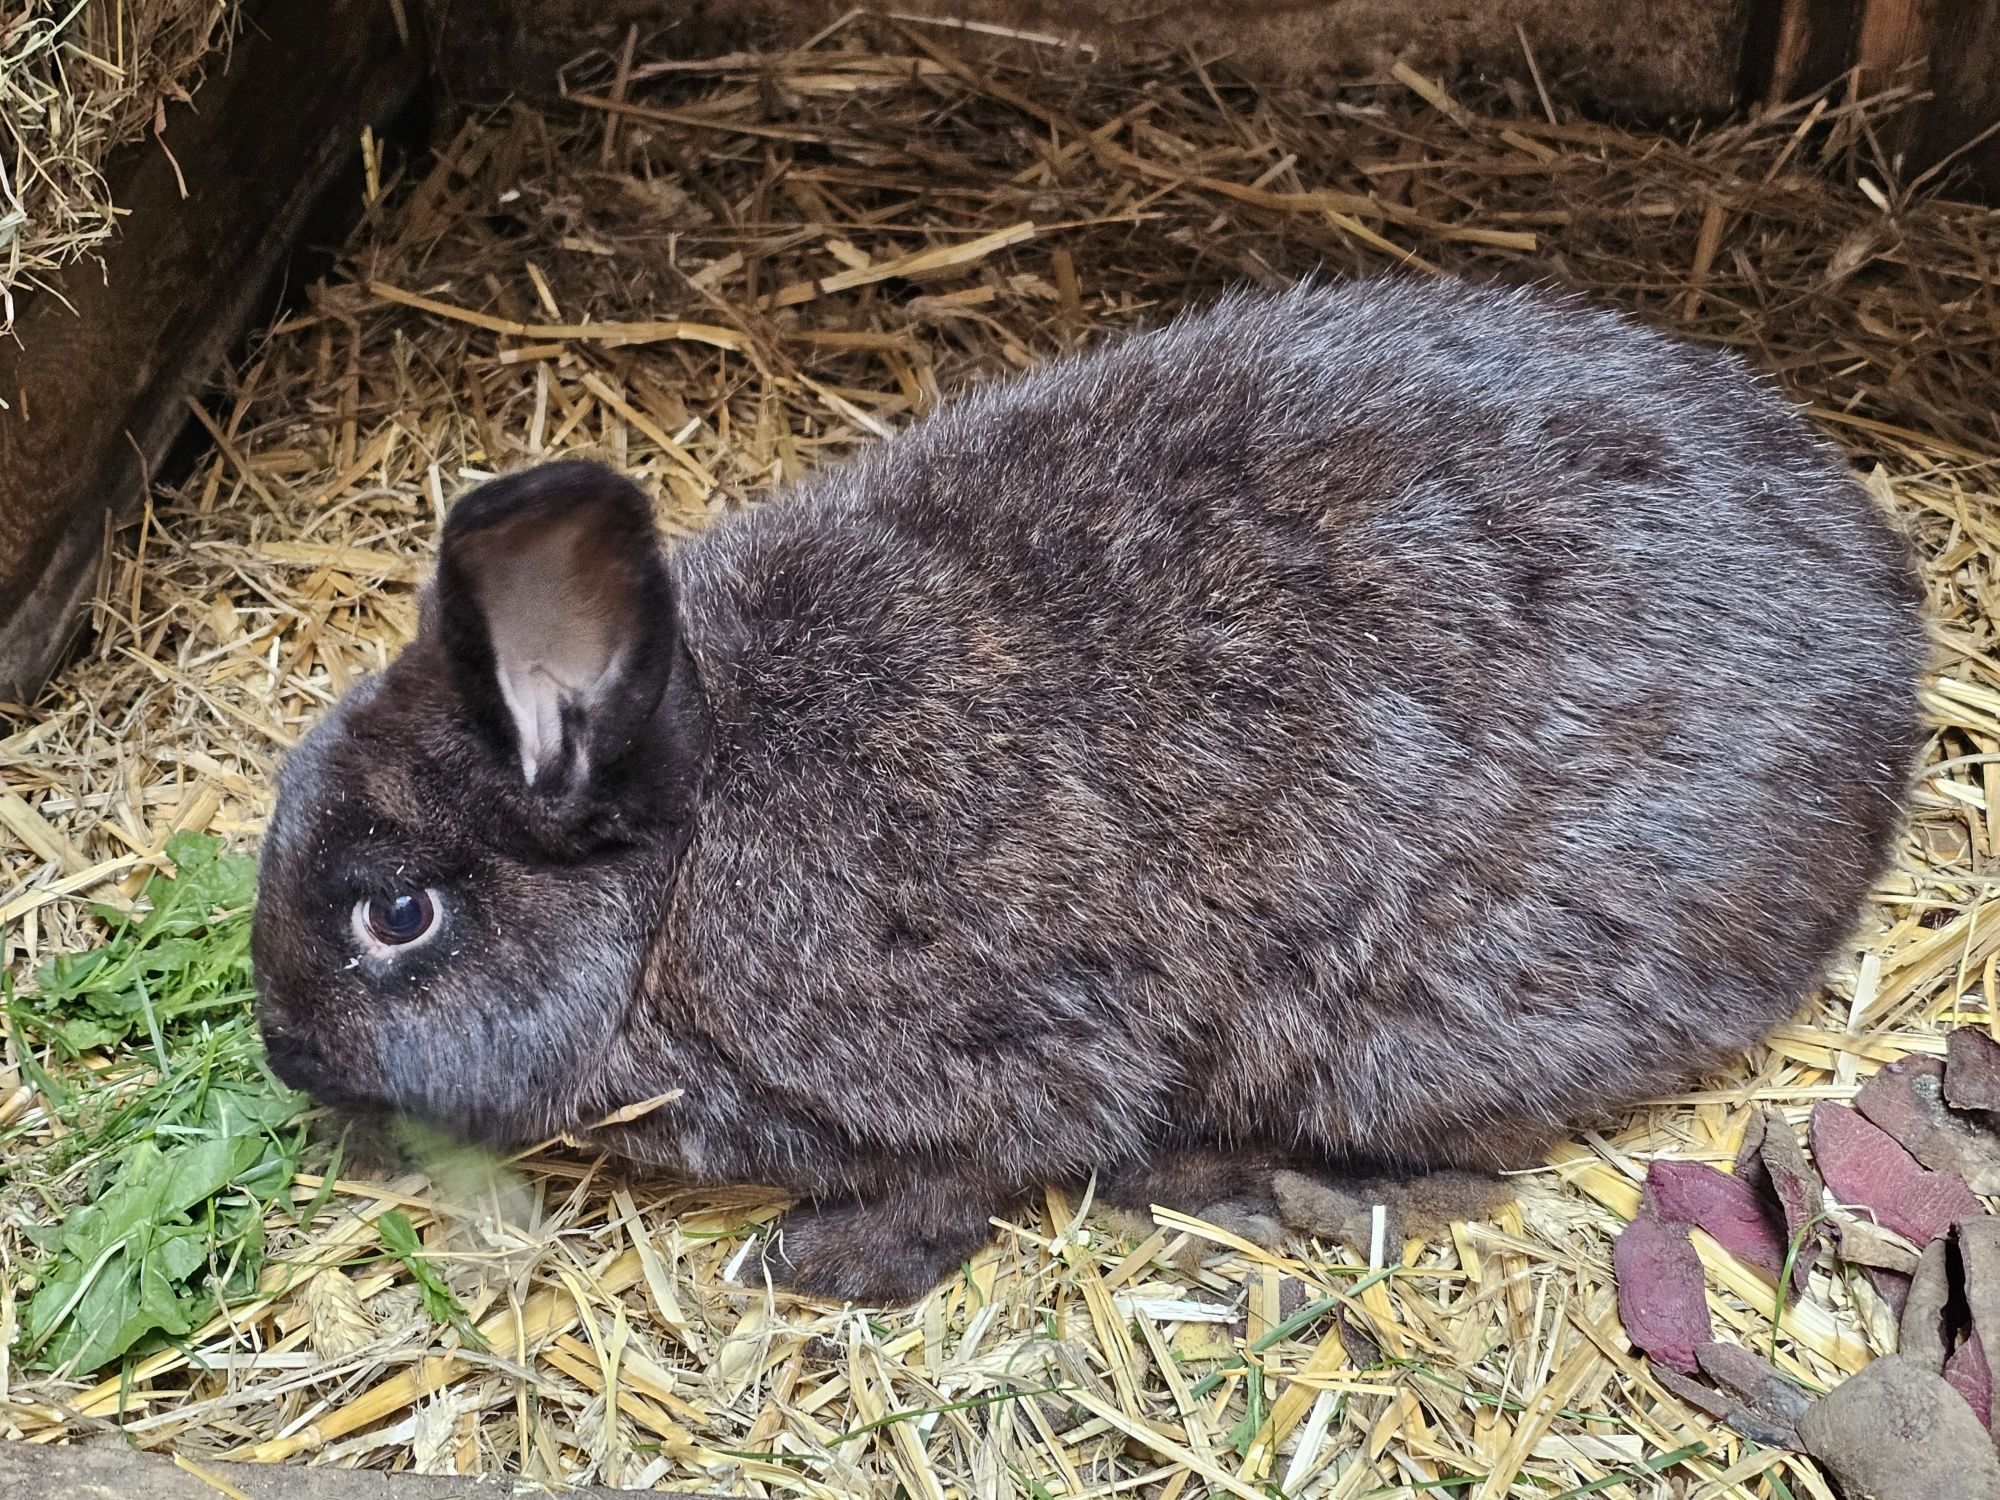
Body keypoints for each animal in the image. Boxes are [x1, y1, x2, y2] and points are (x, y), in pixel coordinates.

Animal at [246, 280, 1920, 1304]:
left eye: (397, 915)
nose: (284, 1056)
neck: (683, 853)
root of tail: (1890, 669)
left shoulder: (990, 1070)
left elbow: (962, 1179)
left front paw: (812, 1264)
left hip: (1418, 1019)